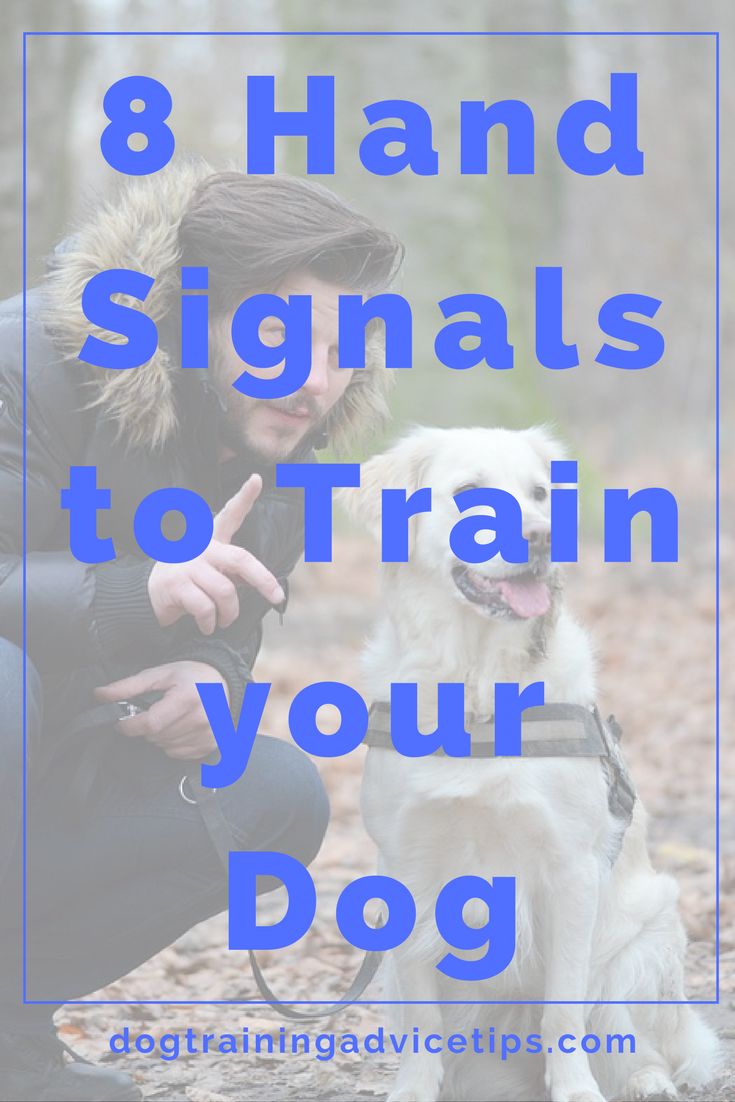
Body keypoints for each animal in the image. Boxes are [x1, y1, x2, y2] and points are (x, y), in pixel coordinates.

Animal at [343, 423, 718, 1102]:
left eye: (541, 494)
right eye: (470, 493)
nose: (541, 536)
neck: (476, 688)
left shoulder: (568, 872)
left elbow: (562, 1011)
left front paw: (575, 1090)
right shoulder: (407, 870)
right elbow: (424, 1018)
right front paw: (414, 1088)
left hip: (640, 947)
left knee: (641, 1041)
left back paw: (648, 1081)